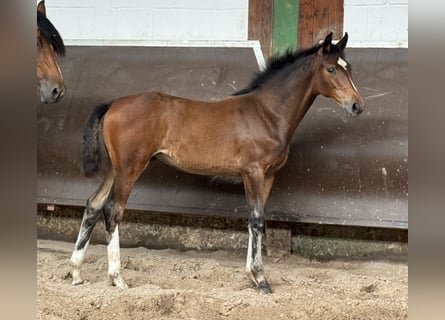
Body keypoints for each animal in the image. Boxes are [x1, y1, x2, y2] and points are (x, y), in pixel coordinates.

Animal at [70, 33, 364, 296]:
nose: (356, 106)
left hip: (114, 169)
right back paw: (117, 278)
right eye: (331, 69)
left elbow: (256, 218)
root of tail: (113, 104)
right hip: (130, 168)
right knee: (113, 209)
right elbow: (257, 219)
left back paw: (75, 272)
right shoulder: (253, 172)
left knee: (93, 204)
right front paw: (261, 279)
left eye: (349, 69)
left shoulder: (268, 176)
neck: (267, 113)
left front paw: (253, 277)